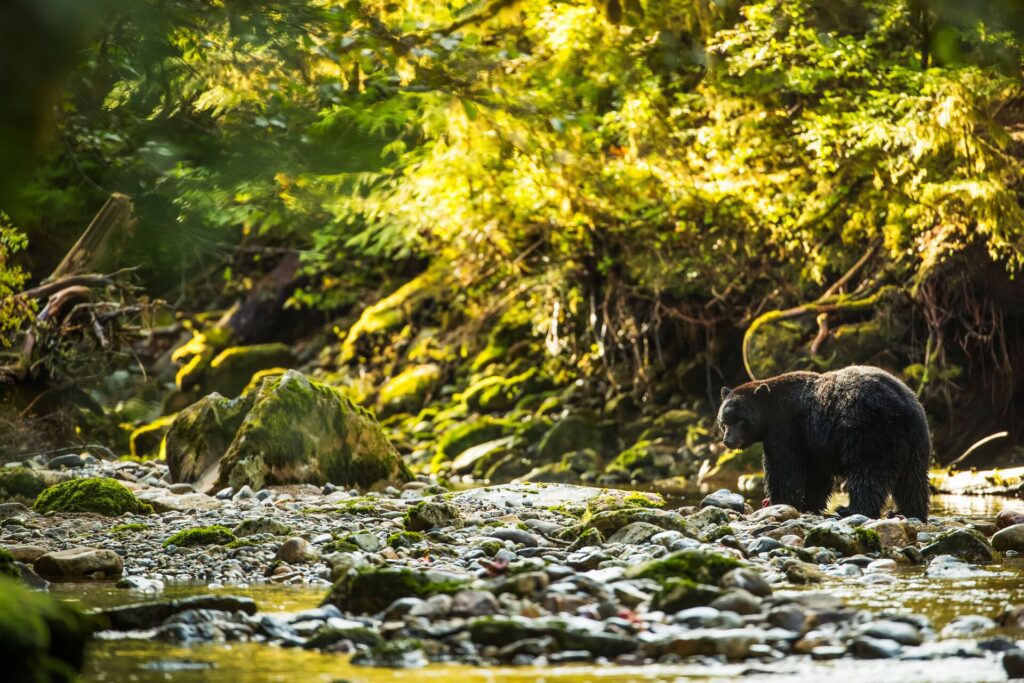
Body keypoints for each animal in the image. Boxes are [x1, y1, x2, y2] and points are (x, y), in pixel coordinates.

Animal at [716, 365, 931, 521]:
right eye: (723, 421)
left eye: (741, 420)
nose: (728, 441)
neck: (771, 408)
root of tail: (903, 409)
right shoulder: (812, 441)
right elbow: (816, 475)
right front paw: (808, 504)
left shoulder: (786, 429)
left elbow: (783, 468)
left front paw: (776, 501)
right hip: (916, 441)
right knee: (912, 479)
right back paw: (908, 512)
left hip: (872, 432)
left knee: (869, 473)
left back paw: (852, 509)